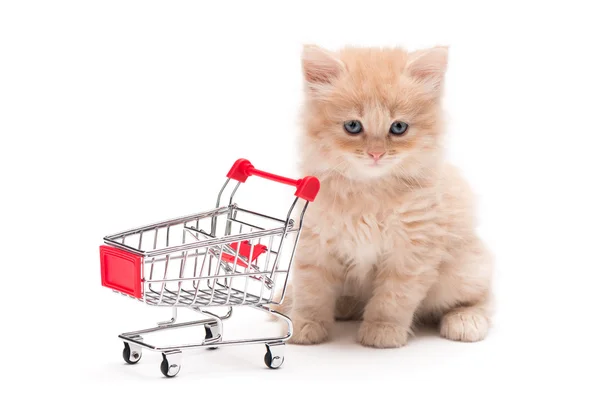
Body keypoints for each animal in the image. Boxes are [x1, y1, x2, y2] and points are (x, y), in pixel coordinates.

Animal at [276, 45, 492, 348]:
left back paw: (465, 321)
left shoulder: (411, 251)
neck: (369, 191)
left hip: (463, 272)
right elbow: (311, 290)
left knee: (483, 297)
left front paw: (382, 332)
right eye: (353, 126)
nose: (376, 154)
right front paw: (304, 325)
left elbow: (393, 298)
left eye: (398, 128)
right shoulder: (315, 242)